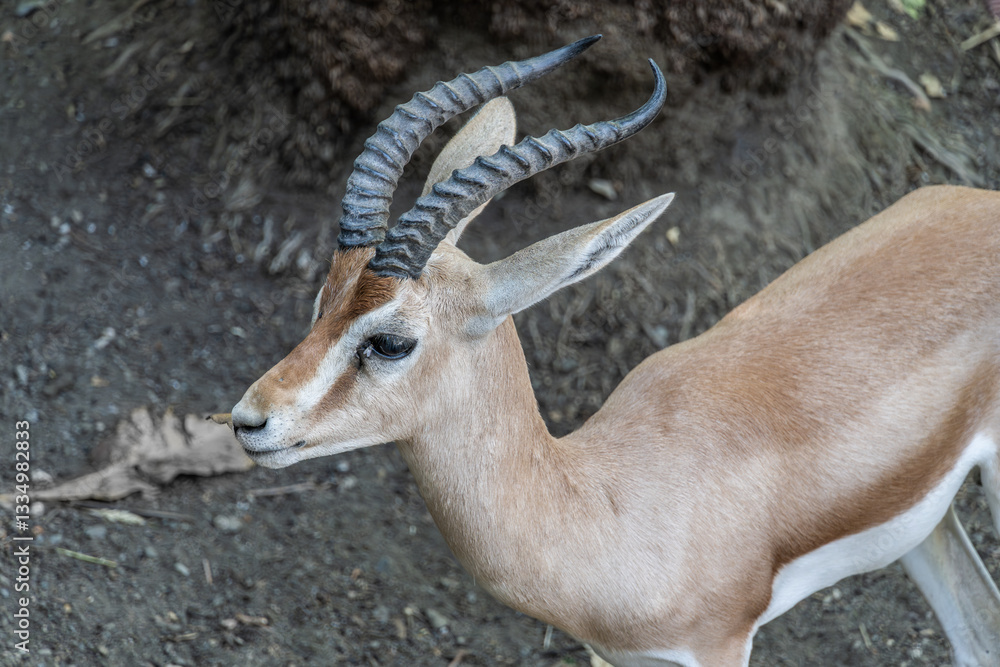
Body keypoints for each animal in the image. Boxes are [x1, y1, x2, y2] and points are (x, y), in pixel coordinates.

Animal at [231, 36, 1000, 666]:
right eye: (323, 298)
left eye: (391, 340)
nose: (249, 420)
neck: (605, 503)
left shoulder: (720, 648)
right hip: (923, 519)